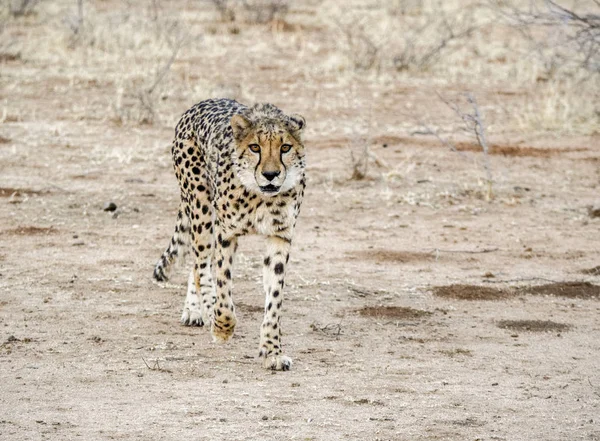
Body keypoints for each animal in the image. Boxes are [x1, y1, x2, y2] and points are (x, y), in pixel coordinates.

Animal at [152, 98, 308, 370]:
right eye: (255, 147)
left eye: (285, 147)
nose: (270, 175)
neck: (260, 196)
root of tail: (201, 103)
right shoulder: (227, 234)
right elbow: (223, 285)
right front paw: (222, 327)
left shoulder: (280, 237)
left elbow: (274, 298)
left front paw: (272, 351)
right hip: (201, 207)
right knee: (200, 262)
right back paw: (201, 309)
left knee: (197, 262)